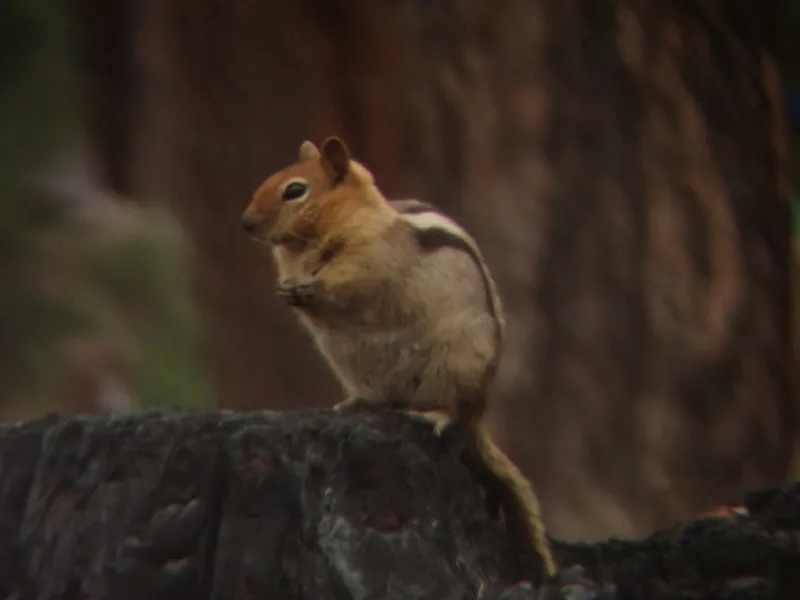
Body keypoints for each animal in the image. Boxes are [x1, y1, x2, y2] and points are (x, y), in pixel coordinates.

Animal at [241, 136, 557, 578]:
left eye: (295, 190)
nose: (246, 222)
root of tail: (480, 413)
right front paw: (289, 289)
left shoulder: (369, 258)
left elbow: (352, 285)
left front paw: (311, 287)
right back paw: (356, 402)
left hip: (456, 365)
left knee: (453, 412)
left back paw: (434, 414)